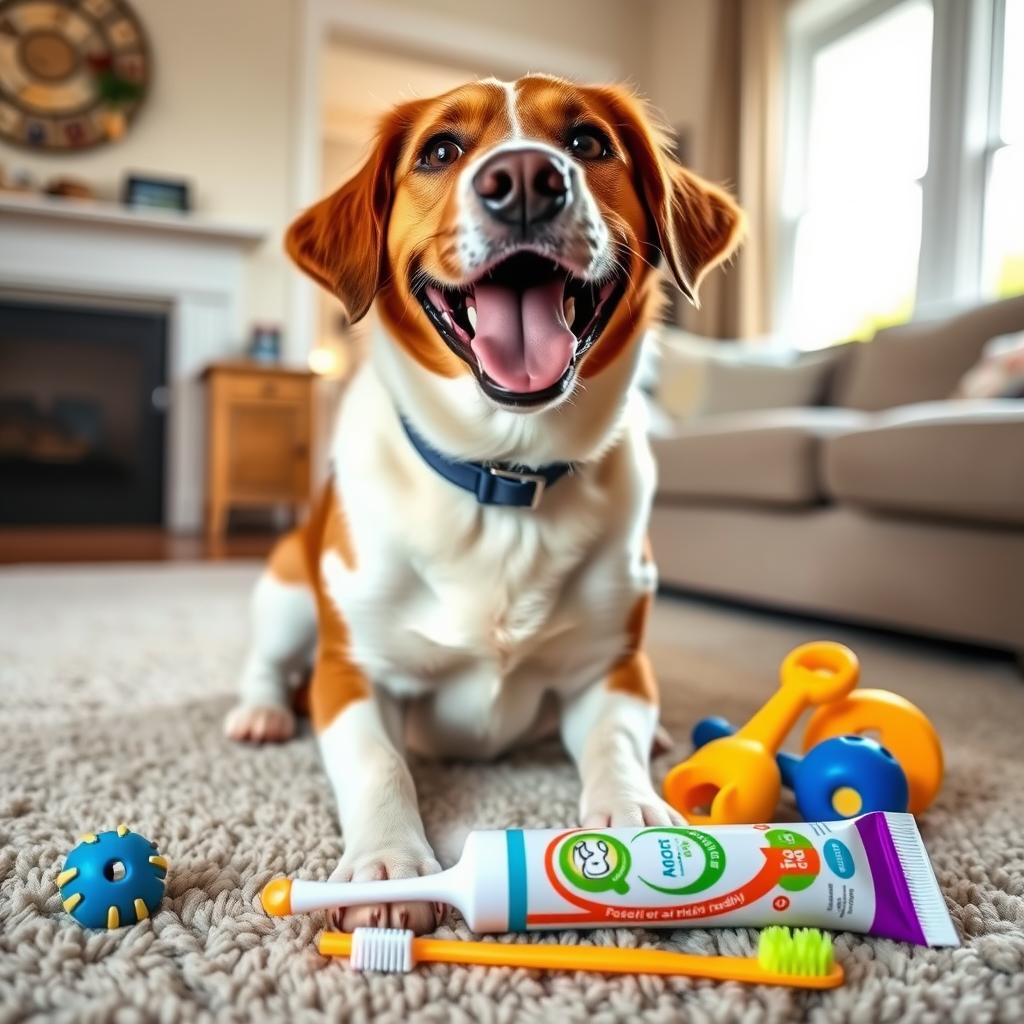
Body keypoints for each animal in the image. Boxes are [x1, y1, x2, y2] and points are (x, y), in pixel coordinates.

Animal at [224, 75, 741, 933]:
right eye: (441, 149)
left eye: (588, 142)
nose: (526, 179)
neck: (505, 476)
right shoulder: (352, 672)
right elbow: (379, 762)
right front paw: (388, 868)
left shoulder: (612, 667)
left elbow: (612, 744)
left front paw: (634, 819)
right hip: (288, 590)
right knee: (266, 664)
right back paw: (260, 714)